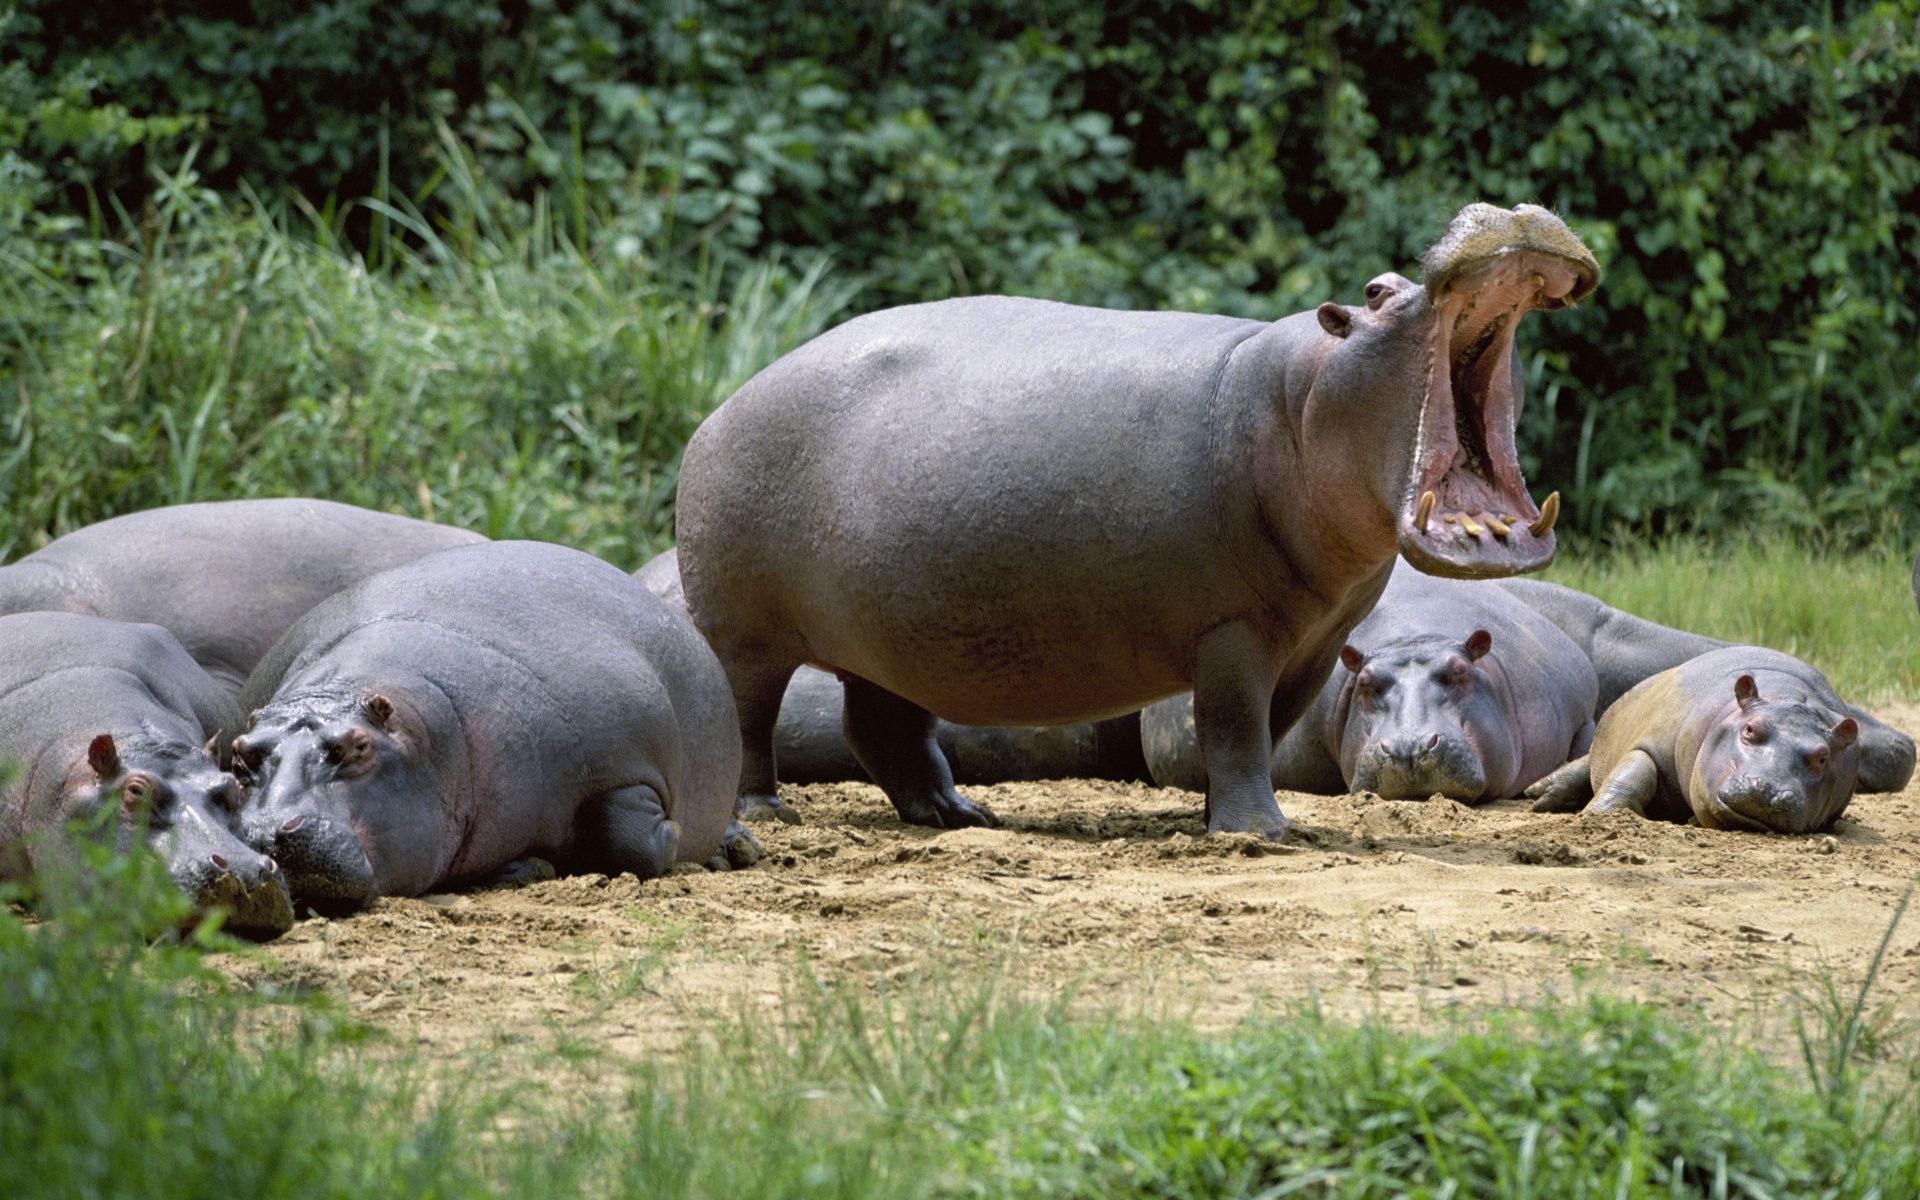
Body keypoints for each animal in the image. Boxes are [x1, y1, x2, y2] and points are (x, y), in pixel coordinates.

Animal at [232, 541, 748, 906]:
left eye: (357, 747)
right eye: (240, 754)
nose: (264, 833)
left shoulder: (627, 762)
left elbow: (629, 841)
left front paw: (677, 835)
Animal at [1525, 646, 1914, 832]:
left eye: (1822, 757)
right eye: (1750, 729)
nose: (1767, 788)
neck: (1789, 698)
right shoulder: (1654, 740)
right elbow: (1633, 773)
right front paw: (1600, 817)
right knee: (1587, 764)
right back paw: (1539, 796)